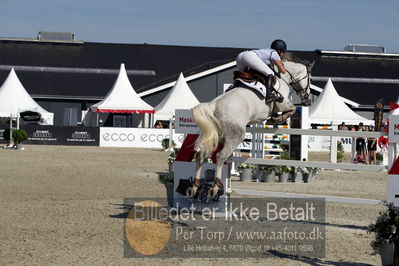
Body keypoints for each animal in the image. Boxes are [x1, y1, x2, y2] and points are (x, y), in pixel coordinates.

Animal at [189, 59, 314, 197]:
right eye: (310, 79)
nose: (308, 101)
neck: (284, 76)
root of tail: (213, 105)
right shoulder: (283, 104)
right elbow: (292, 109)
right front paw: (277, 119)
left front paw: (275, 118)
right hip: (235, 136)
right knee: (220, 156)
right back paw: (215, 187)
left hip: (214, 135)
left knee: (200, 154)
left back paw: (195, 186)